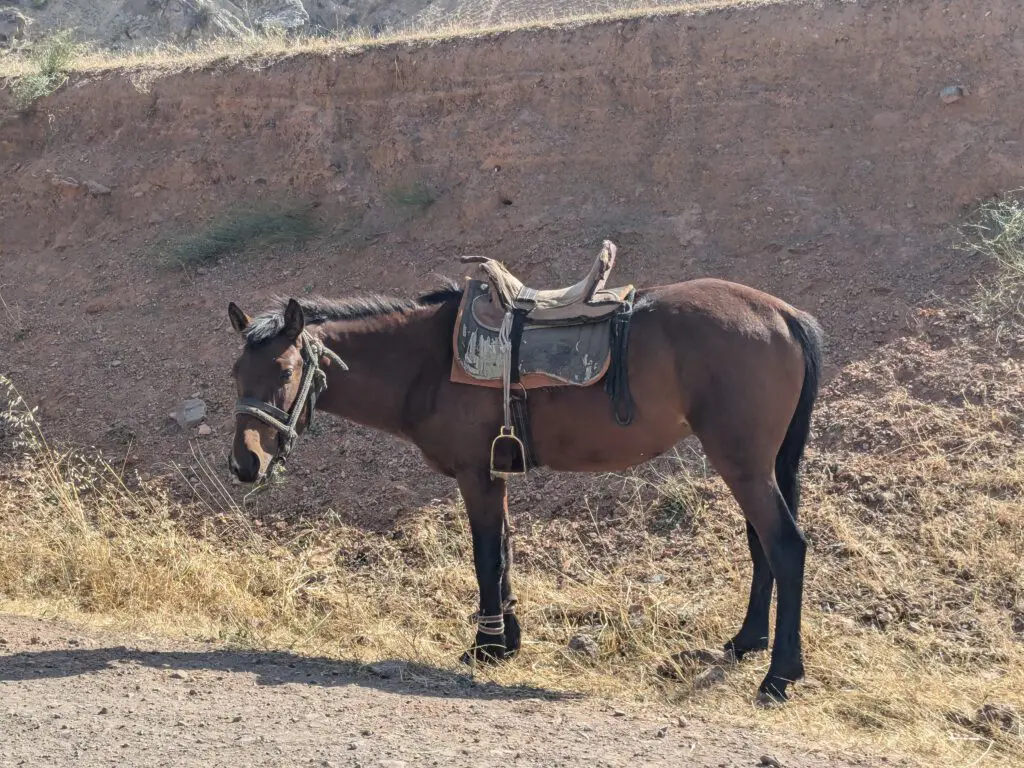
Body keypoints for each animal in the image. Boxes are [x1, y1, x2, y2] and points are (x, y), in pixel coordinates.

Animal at [226, 259, 823, 704]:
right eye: (235, 373)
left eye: (284, 371)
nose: (245, 463)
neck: (427, 359)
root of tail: (785, 315)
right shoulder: (496, 472)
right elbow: (505, 552)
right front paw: (507, 639)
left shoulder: (476, 474)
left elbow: (486, 555)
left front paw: (487, 645)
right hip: (757, 464)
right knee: (762, 546)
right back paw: (747, 642)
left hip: (742, 462)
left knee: (786, 546)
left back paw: (779, 676)